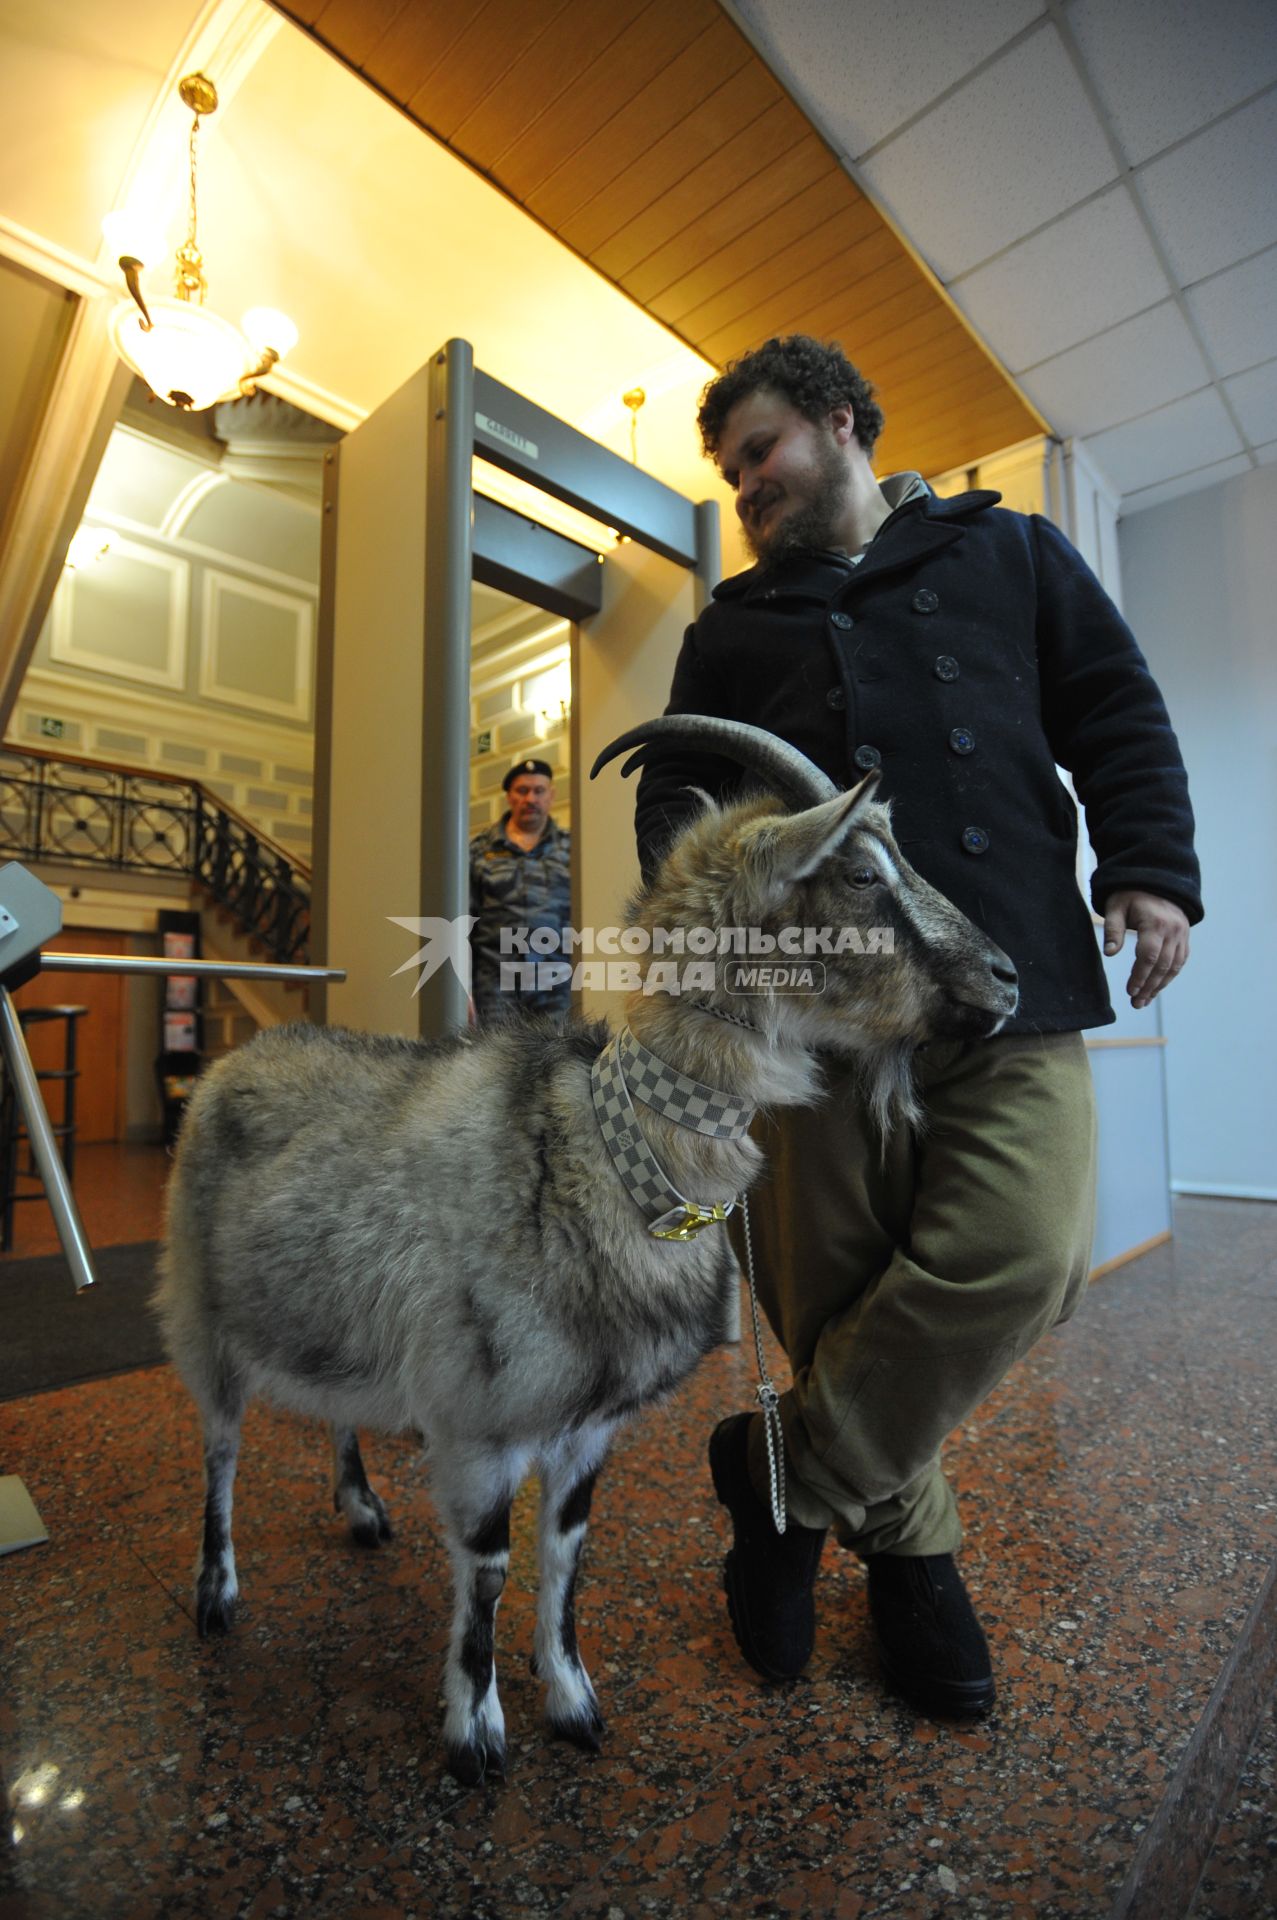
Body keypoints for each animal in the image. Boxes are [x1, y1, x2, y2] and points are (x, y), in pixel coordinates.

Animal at [156, 721, 1013, 1781]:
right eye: (858, 873)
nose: (1007, 979)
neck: (599, 1151)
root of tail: (231, 1057)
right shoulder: (479, 1422)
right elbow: (488, 1568)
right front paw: (476, 1732)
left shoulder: (587, 1426)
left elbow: (567, 1554)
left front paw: (570, 1699)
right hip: (199, 1311)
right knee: (221, 1446)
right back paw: (217, 1595)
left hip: (326, 1310)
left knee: (334, 1406)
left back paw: (360, 1510)